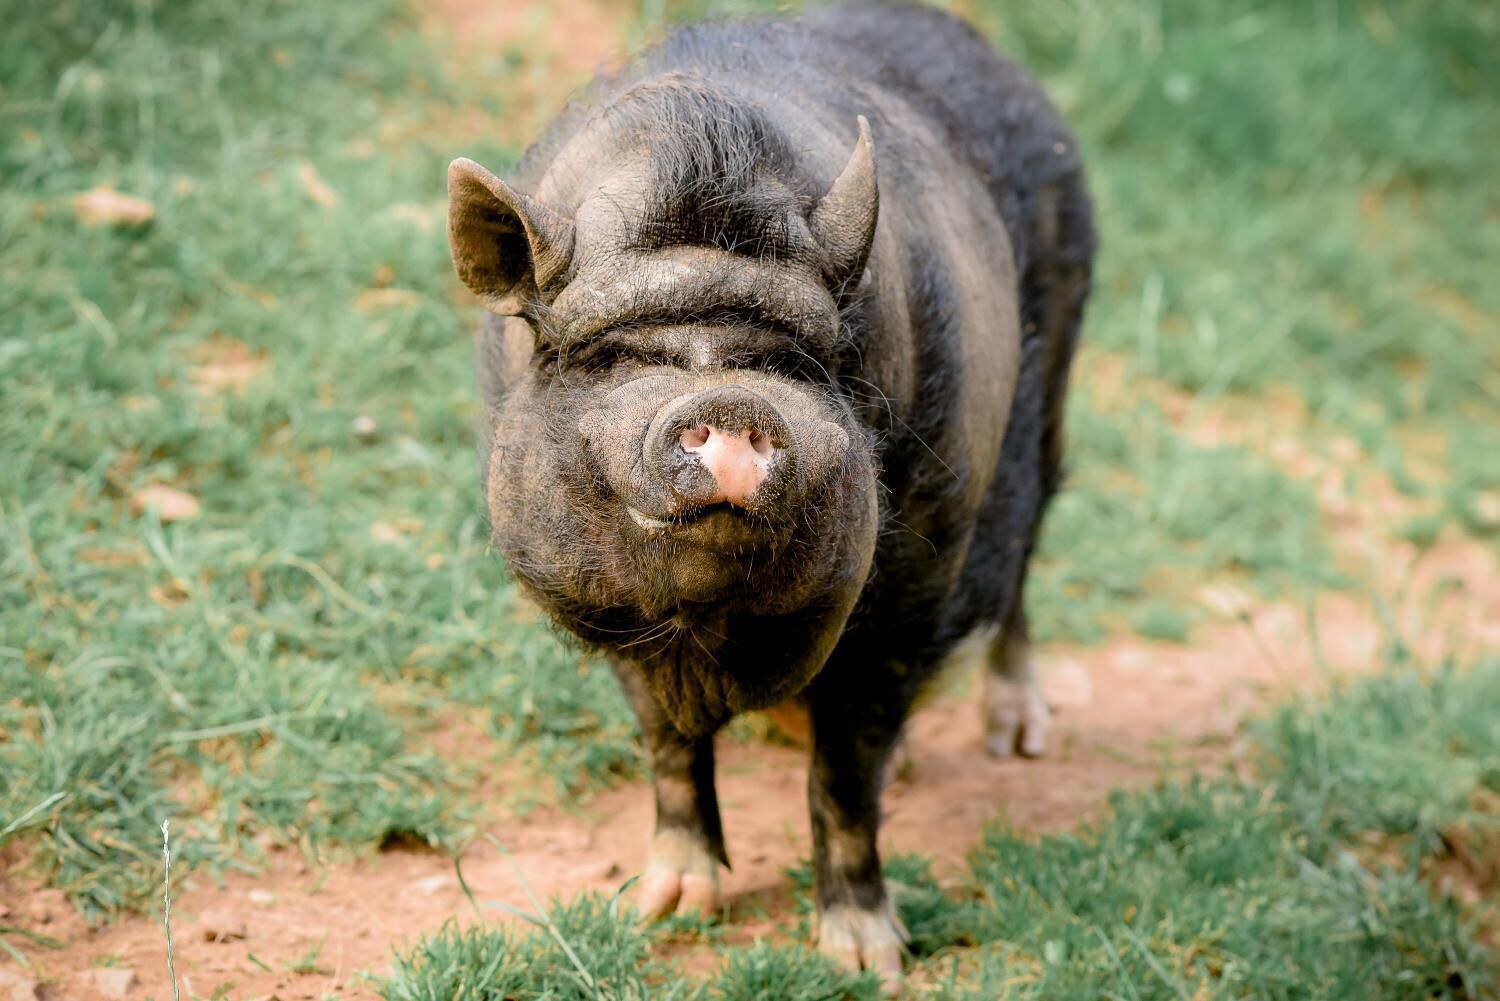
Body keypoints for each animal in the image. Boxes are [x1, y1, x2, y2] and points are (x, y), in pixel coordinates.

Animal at [447, 1, 1094, 987]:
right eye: (618, 354)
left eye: (792, 360)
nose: (732, 402)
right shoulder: (610, 608)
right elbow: (668, 743)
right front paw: (665, 910)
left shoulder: (909, 590)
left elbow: (845, 776)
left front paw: (868, 962)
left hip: (1056, 364)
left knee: (1023, 547)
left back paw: (1018, 735)